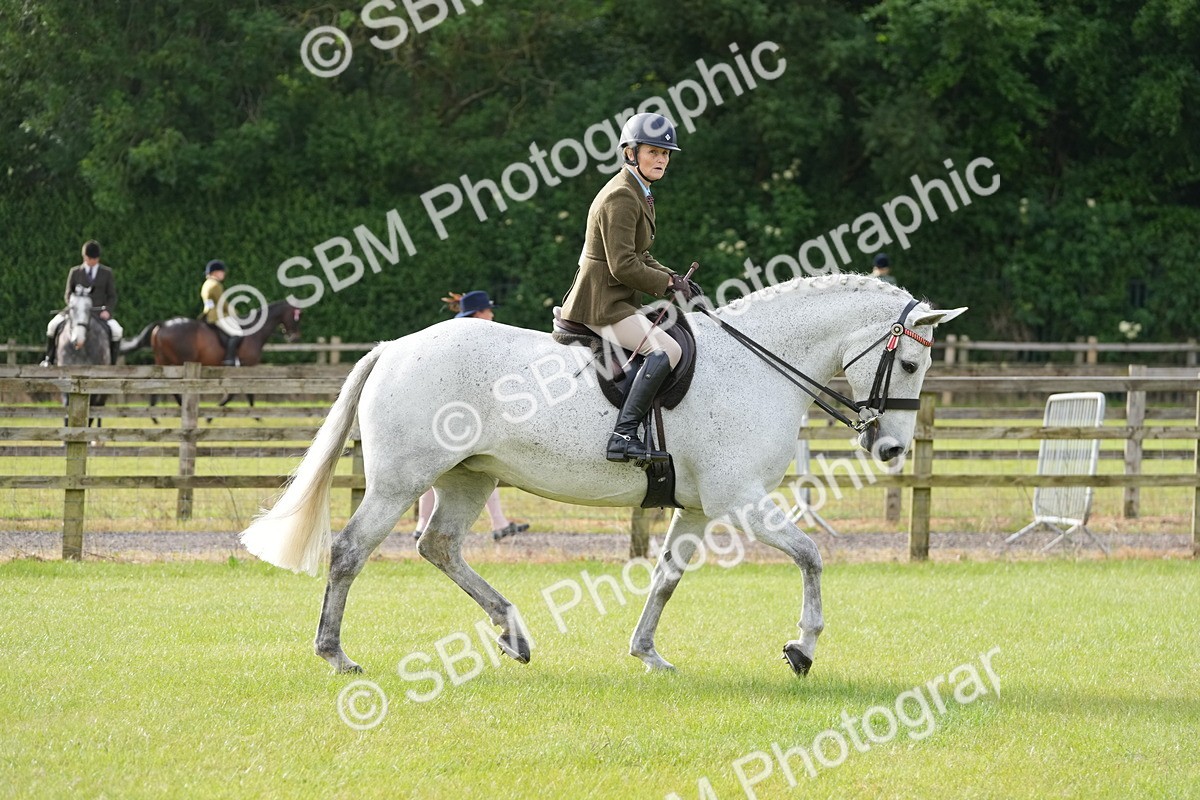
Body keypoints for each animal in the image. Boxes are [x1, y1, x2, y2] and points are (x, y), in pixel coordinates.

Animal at [121, 300, 302, 415]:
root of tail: (164, 324)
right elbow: (243, 392)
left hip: (162, 360)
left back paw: (155, 413)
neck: (254, 331)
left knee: (158, 382)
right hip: (178, 361)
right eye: (296, 316)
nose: (294, 337)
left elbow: (239, 392)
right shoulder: (247, 366)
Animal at [240, 275, 965, 676]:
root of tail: (393, 348)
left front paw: (648, 653)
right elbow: (812, 556)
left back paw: (513, 634)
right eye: (909, 365)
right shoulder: (740, 499)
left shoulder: (699, 507)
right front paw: (803, 648)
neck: (761, 363)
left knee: (439, 546)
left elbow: (668, 576)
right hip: (401, 480)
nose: (891, 448)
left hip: (470, 477)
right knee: (350, 551)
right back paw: (335, 654)